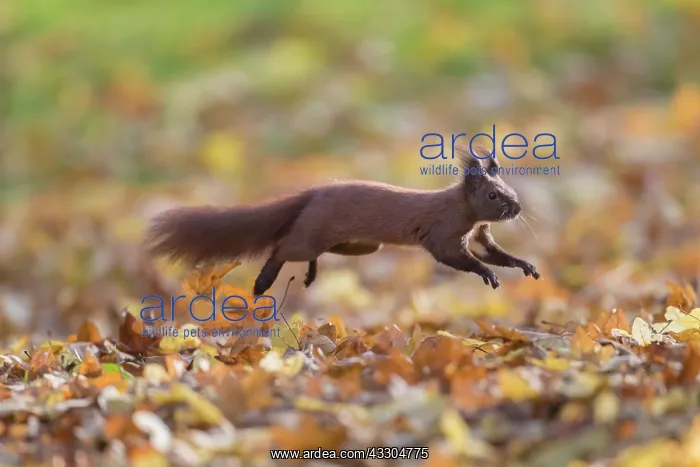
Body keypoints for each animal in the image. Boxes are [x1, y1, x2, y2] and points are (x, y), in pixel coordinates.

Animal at [144, 144, 540, 297]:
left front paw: (525, 266)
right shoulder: (443, 233)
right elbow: (455, 257)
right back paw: (263, 281)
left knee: (311, 251)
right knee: (282, 246)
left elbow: (495, 253)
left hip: (360, 245)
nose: (517, 208)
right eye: (493, 195)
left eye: (507, 187)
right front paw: (486, 274)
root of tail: (313, 194)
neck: (464, 211)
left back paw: (310, 274)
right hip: (315, 234)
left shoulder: (478, 234)